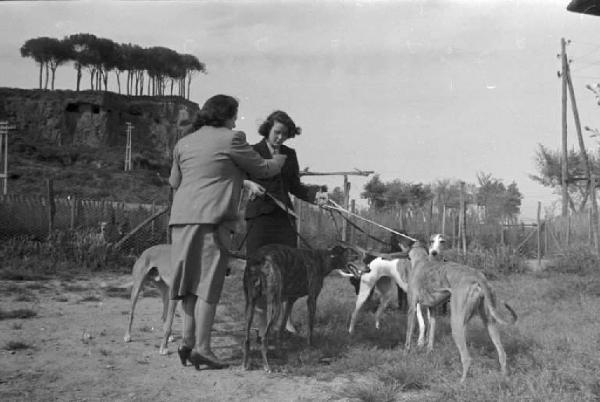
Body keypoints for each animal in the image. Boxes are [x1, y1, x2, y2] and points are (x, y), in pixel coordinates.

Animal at [241, 242, 368, 370]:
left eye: (363, 258)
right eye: (355, 257)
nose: (368, 269)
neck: (322, 258)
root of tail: (259, 257)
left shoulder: (290, 300)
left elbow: (281, 327)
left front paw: (279, 349)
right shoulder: (312, 299)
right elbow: (310, 328)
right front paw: (310, 347)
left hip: (250, 304)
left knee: (247, 338)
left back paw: (245, 363)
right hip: (274, 306)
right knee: (264, 337)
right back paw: (266, 365)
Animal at [406, 242, 516, 384]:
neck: (421, 261)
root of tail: (477, 276)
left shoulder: (412, 308)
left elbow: (408, 337)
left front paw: (405, 354)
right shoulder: (433, 311)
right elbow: (430, 336)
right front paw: (428, 353)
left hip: (456, 324)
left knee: (467, 358)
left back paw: (461, 383)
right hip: (488, 323)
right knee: (502, 353)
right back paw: (504, 378)